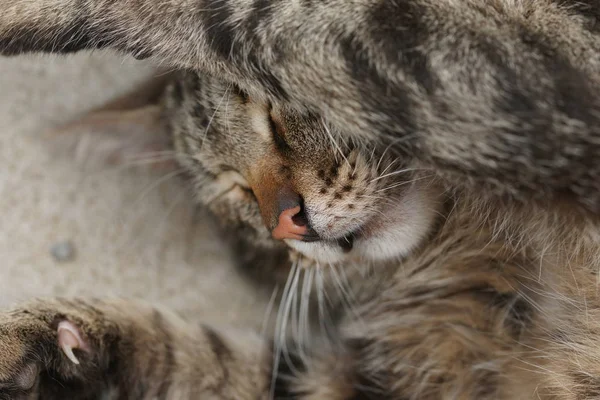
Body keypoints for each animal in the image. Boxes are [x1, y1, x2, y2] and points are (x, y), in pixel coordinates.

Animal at [1, 0, 600, 398]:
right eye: (236, 189)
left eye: (272, 110)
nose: (291, 226)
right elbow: (203, 353)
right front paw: (54, 344)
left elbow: (256, 21)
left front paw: (28, 16)